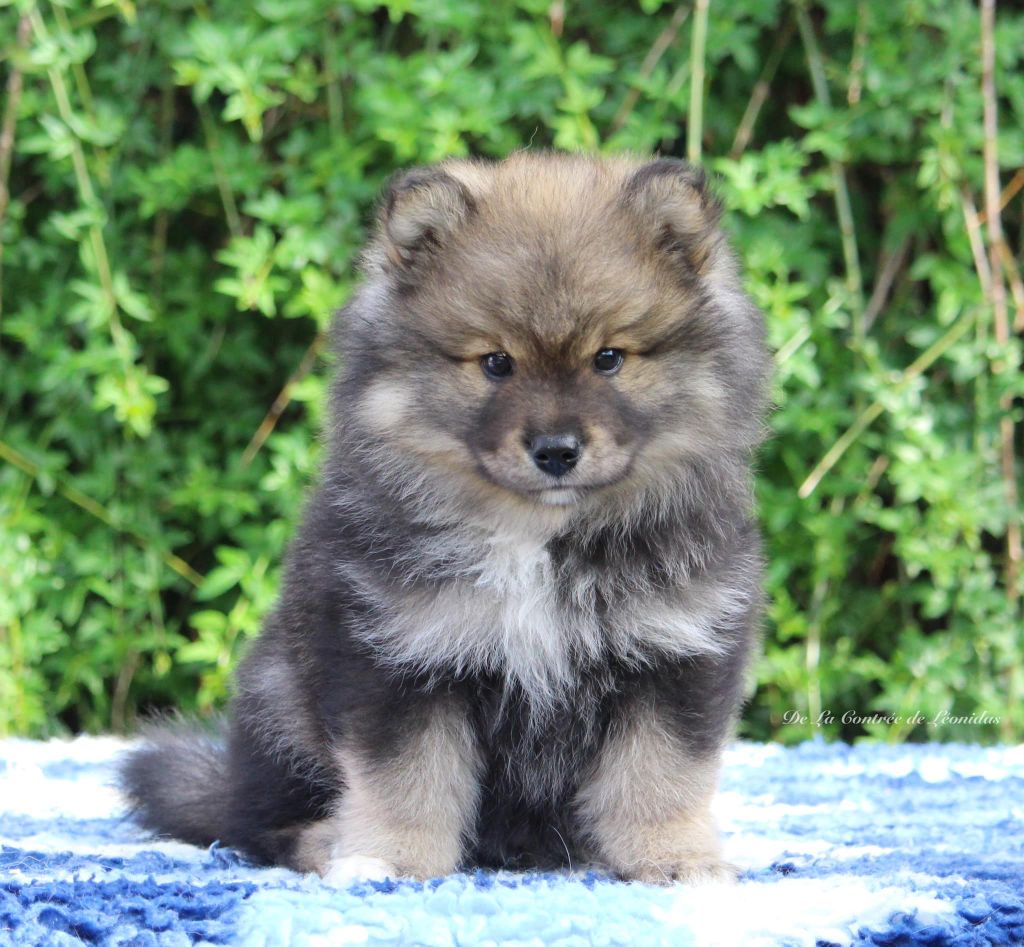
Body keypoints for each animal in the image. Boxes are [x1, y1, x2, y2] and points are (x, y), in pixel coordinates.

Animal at [121, 151, 770, 885]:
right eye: (496, 362)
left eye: (608, 358)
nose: (556, 451)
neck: (536, 539)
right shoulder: (401, 655)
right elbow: (407, 778)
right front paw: (391, 859)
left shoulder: (674, 651)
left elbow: (659, 776)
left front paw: (675, 858)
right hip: (279, 700)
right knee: (257, 821)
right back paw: (326, 843)